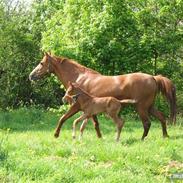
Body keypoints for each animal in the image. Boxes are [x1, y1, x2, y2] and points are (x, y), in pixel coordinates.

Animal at [28, 52, 176, 140]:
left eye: (41, 63)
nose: (31, 75)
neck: (79, 79)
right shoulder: (91, 110)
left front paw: (56, 134)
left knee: (147, 123)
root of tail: (153, 77)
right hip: (149, 107)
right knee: (162, 118)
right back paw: (165, 136)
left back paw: (142, 139)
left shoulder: (76, 107)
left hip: (141, 108)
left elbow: (63, 118)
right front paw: (100, 137)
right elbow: (95, 124)